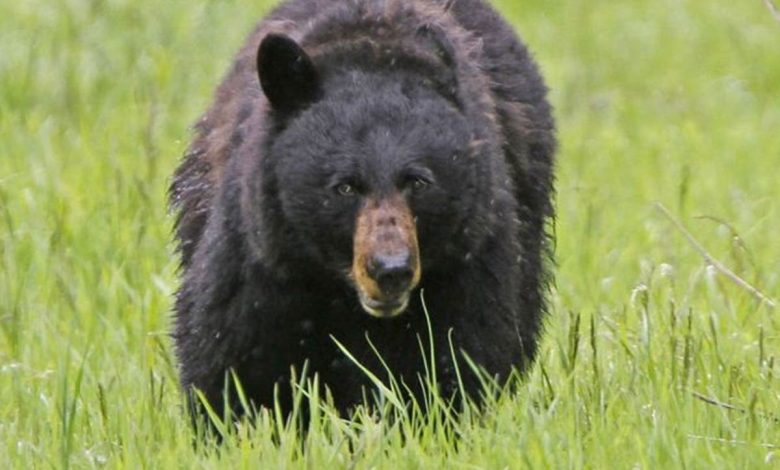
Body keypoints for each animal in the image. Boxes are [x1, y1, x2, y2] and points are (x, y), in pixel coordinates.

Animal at [172, 0, 556, 420]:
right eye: (345, 186)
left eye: (418, 181)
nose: (390, 270)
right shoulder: (265, 256)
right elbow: (234, 358)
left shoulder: (468, 256)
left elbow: (458, 358)